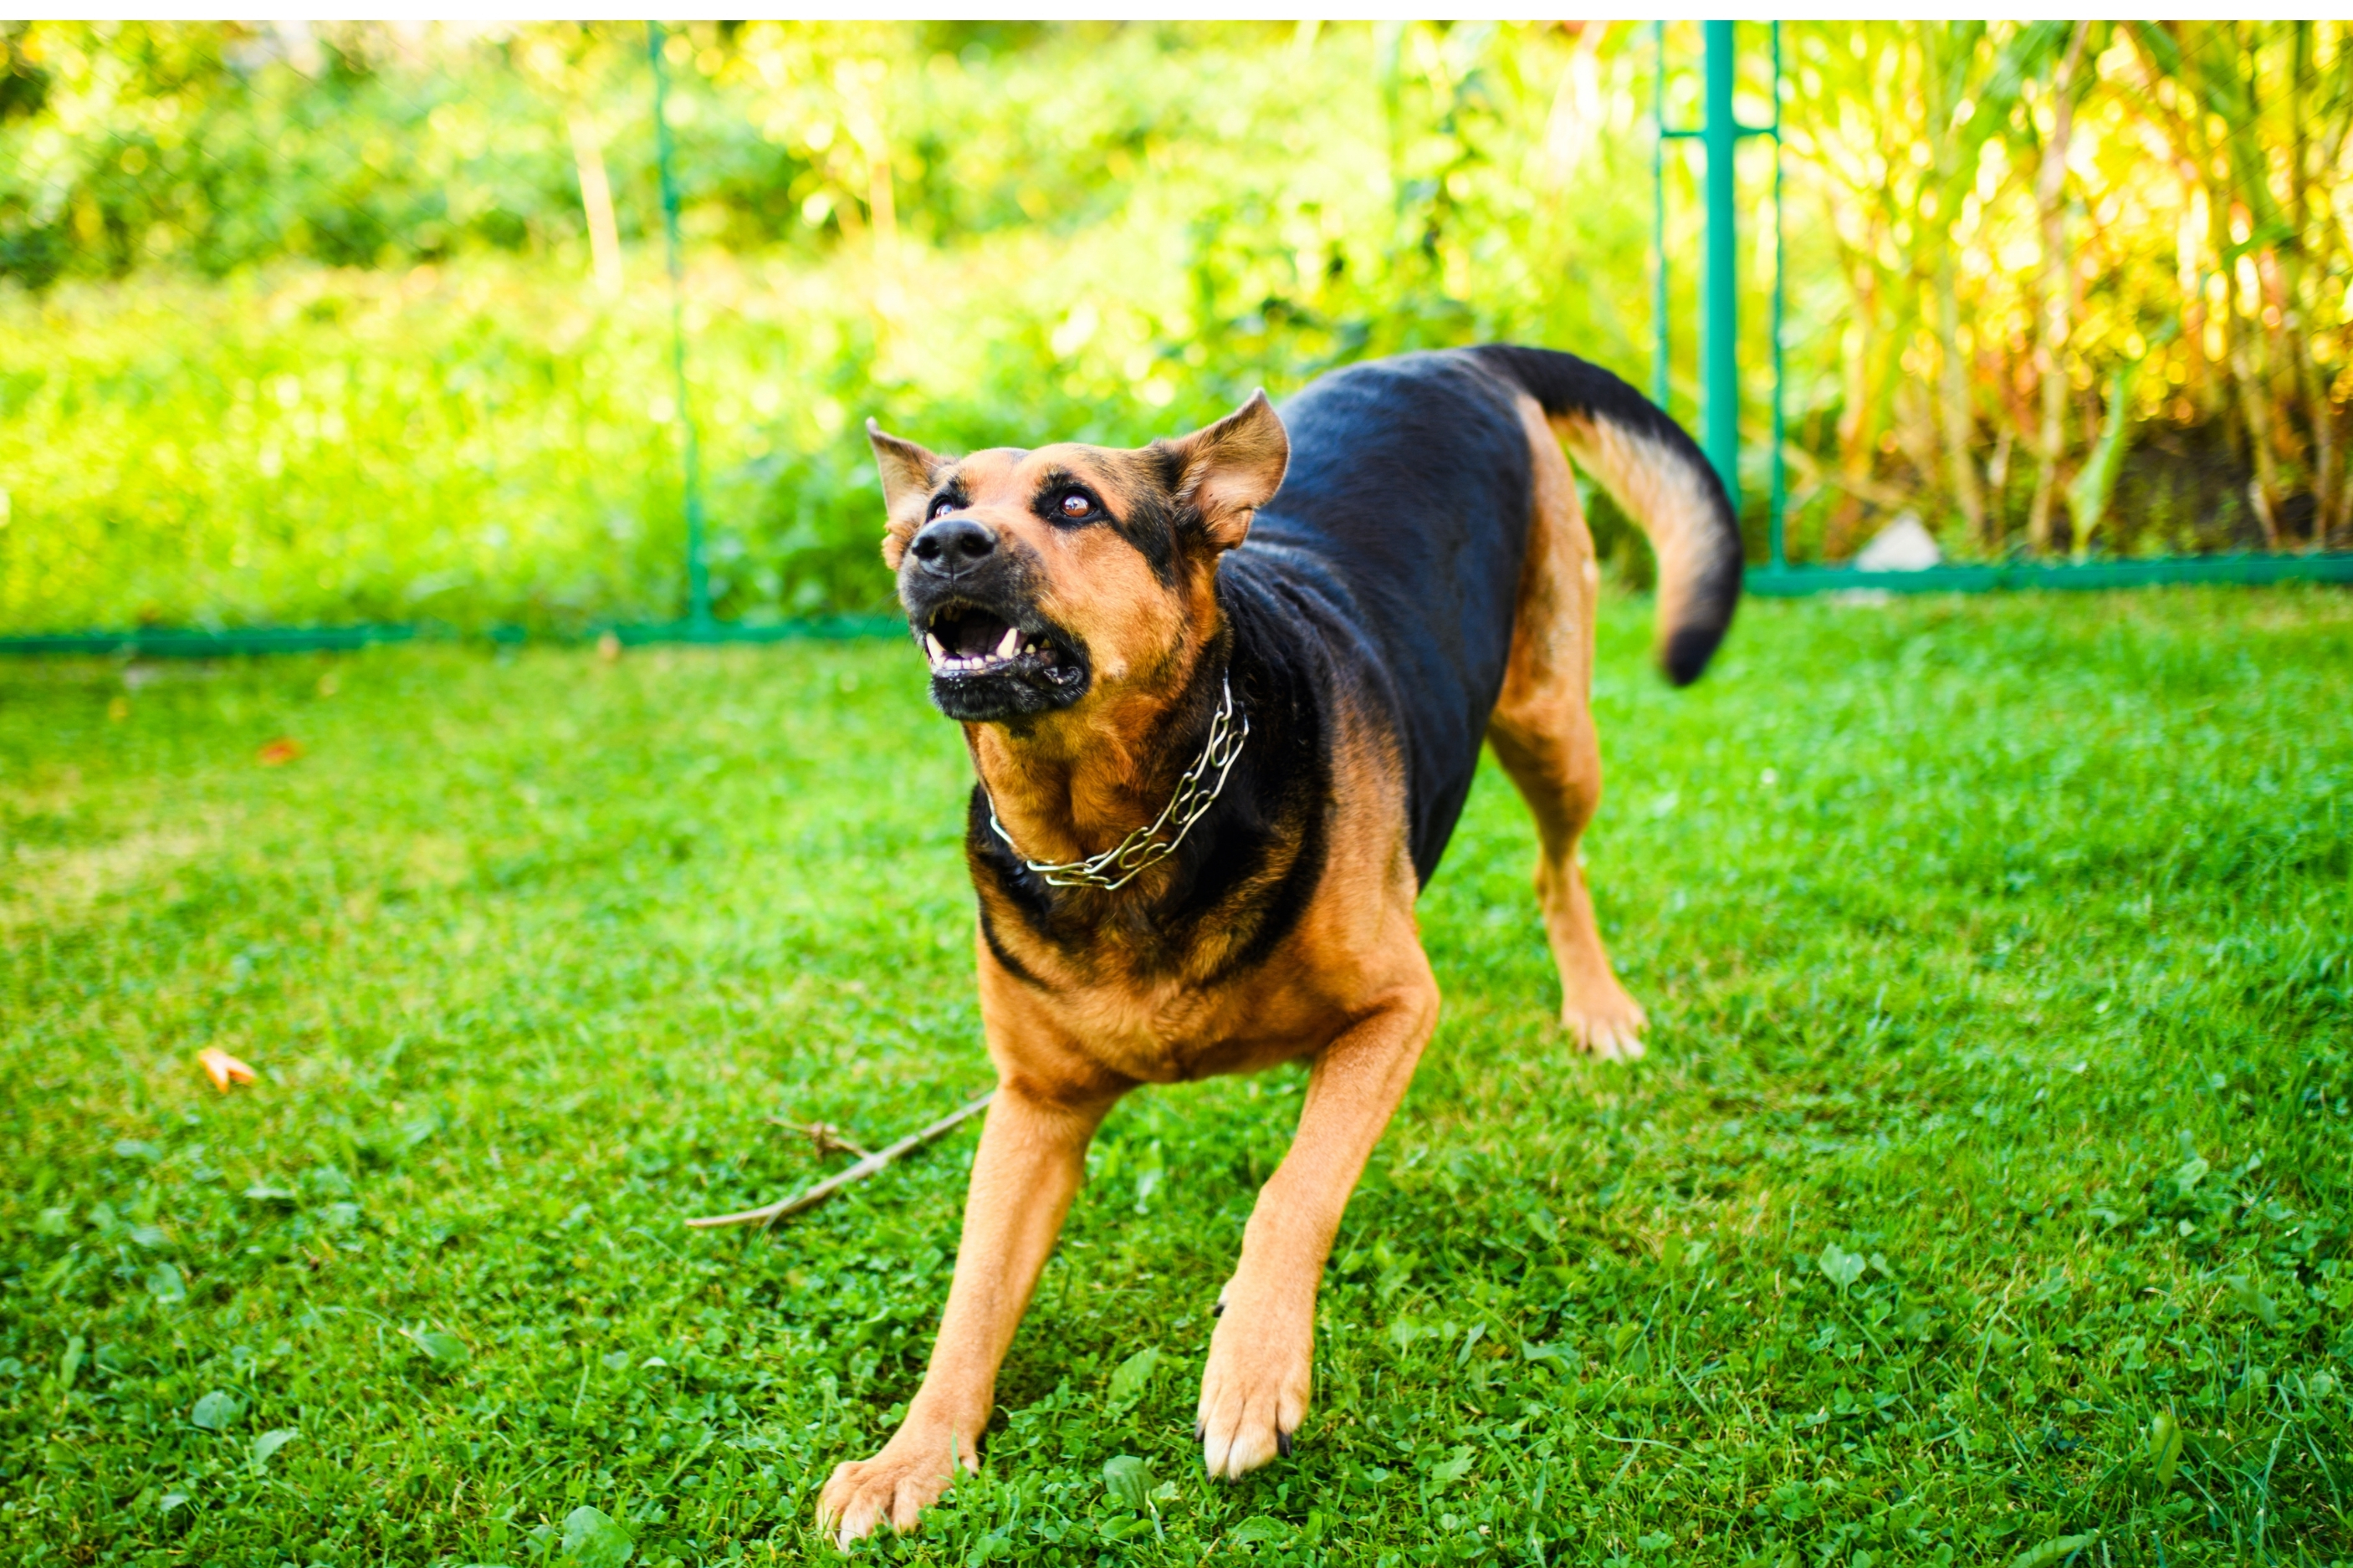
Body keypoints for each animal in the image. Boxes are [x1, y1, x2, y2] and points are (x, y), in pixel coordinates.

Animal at [818, 345, 1741, 1542]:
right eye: (938, 506)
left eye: (1074, 505)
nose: (942, 549)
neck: (1114, 837)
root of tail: (1459, 355)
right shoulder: (1034, 1108)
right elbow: (971, 1297)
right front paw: (914, 1455)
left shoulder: (1394, 1011)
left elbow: (1290, 1193)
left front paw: (1250, 1368)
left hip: (1547, 716)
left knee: (1556, 868)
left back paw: (1597, 1006)